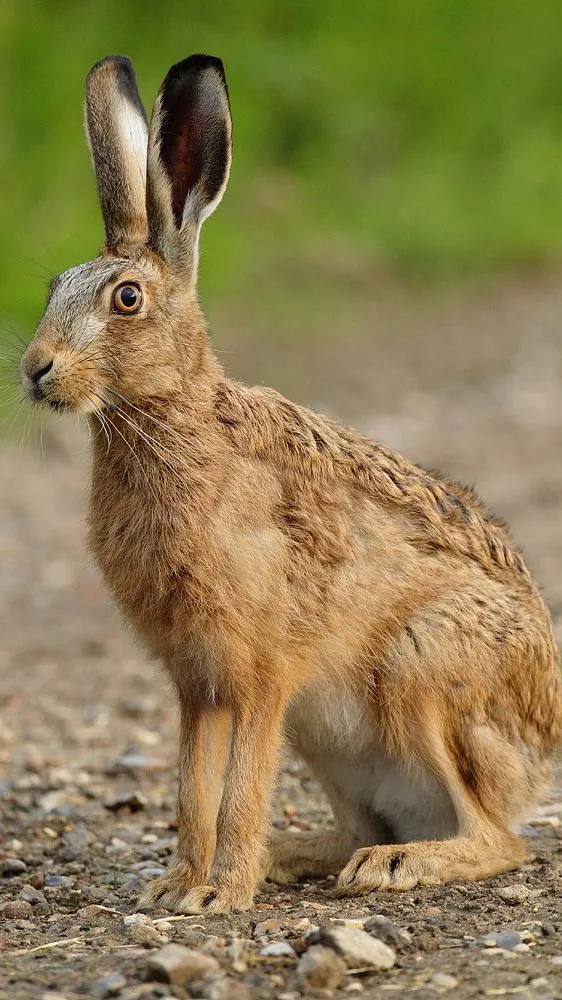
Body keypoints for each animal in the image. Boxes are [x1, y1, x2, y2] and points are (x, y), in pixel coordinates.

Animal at [20, 53, 562, 915]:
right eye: (54, 289)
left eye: (126, 299)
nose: (36, 369)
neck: (175, 420)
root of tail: (543, 746)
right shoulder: (196, 681)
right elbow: (192, 790)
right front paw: (175, 887)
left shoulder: (263, 672)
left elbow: (239, 789)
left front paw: (219, 895)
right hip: (328, 734)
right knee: (366, 826)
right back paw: (306, 857)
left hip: (422, 670)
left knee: (498, 839)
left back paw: (397, 865)